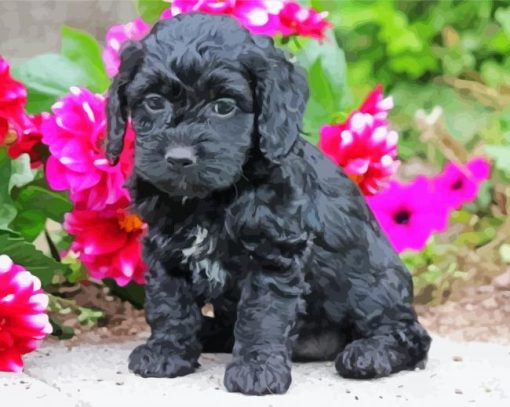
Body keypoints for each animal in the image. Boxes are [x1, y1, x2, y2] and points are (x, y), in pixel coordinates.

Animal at [105, 12, 432, 396]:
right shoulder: (165, 246)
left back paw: (368, 354)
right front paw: (166, 351)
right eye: (154, 101)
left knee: (410, 333)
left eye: (224, 107)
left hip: (372, 286)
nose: (179, 158)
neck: (211, 200)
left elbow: (262, 314)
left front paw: (256, 370)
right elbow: (170, 301)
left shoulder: (273, 254)